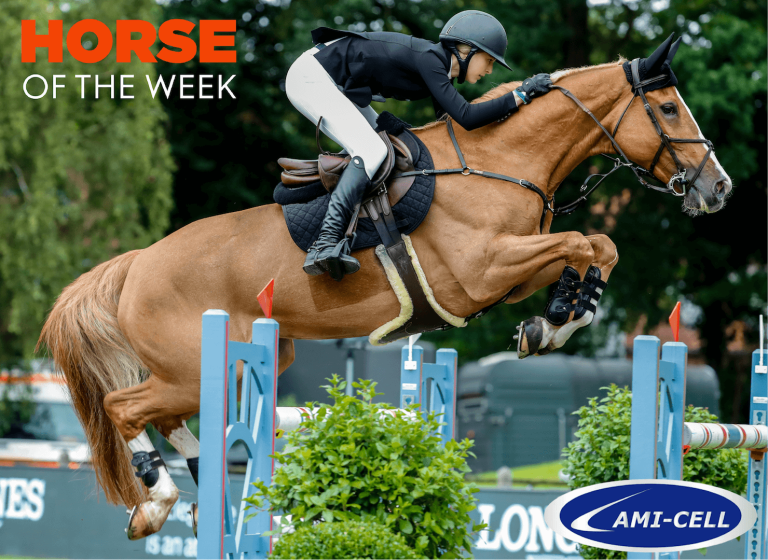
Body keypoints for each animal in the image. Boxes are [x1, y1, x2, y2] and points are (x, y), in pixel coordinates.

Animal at [38, 35, 732, 540]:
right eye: (670, 108)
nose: (718, 187)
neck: (501, 163)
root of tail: (136, 264)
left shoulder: (505, 275)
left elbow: (596, 246)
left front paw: (555, 318)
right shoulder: (482, 271)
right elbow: (585, 243)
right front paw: (556, 320)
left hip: (238, 363)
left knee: (168, 416)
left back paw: (189, 500)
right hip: (205, 364)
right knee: (124, 407)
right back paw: (158, 499)